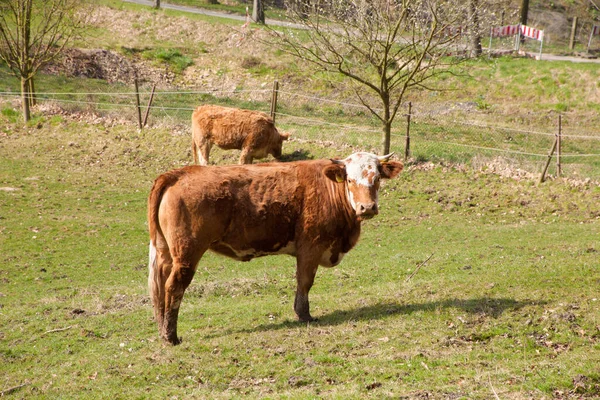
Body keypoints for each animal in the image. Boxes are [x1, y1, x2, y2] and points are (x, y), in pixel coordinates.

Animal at [148, 152, 406, 346]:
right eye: (350, 180)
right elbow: (305, 282)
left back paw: (162, 330)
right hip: (187, 254)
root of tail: (179, 173)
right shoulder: (310, 247)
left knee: (158, 287)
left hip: (164, 252)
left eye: (377, 179)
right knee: (173, 287)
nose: (367, 207)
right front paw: (304, 315)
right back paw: (171, 336)